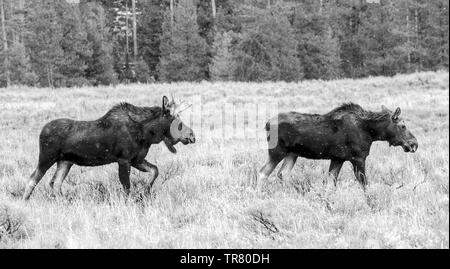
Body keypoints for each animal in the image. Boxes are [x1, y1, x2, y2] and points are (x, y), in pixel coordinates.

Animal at [22, 96, 195, 199]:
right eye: (177, 121)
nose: (192, 135)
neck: (147, 134)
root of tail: (42, 131)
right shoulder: (124, 159)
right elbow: (127, 186)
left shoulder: (137, 159)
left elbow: (155, 171)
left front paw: (144, 191)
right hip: (46, 157)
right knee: (33, 179)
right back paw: (25, 202)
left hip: (65, 161)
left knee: (55, 183)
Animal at [258, 103, 420, 191]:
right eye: (403, 125)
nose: (414, 144)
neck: (371, 132)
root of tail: (266, 124)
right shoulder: (358, 158)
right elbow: (365, 184)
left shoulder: (338, 159)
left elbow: (330, 183)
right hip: (277, 151)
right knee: (262, 173)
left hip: (292, 154)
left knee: (282, 174)